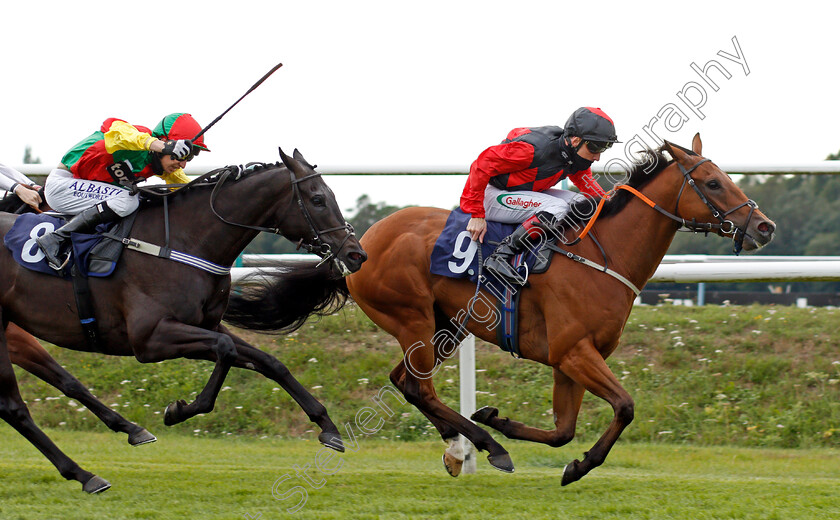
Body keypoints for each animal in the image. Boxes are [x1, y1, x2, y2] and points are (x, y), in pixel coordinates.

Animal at [0, 147, 368, 492]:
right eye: (318, 199)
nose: (356, 254)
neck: (183, 241)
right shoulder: (151, 339)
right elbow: (225, 350)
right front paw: (179, 411)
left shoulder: (204, 325)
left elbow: (269, 362)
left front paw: (328, 428)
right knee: (14, 407)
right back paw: (86, 474)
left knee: (55, 388)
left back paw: (124, 437)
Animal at [342, 134, 776, 484]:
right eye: (713, 183)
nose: (765, 226)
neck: (603, 254)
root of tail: (365, 241)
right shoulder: (574, 352)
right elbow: (625, 406)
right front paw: (577, 465)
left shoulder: (572, 361)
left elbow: (563, 432)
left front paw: (505, 423)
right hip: (412, 318)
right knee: (420, 387)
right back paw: (489, 446)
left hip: (445, 326)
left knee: (404, 382)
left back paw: (458, 448)